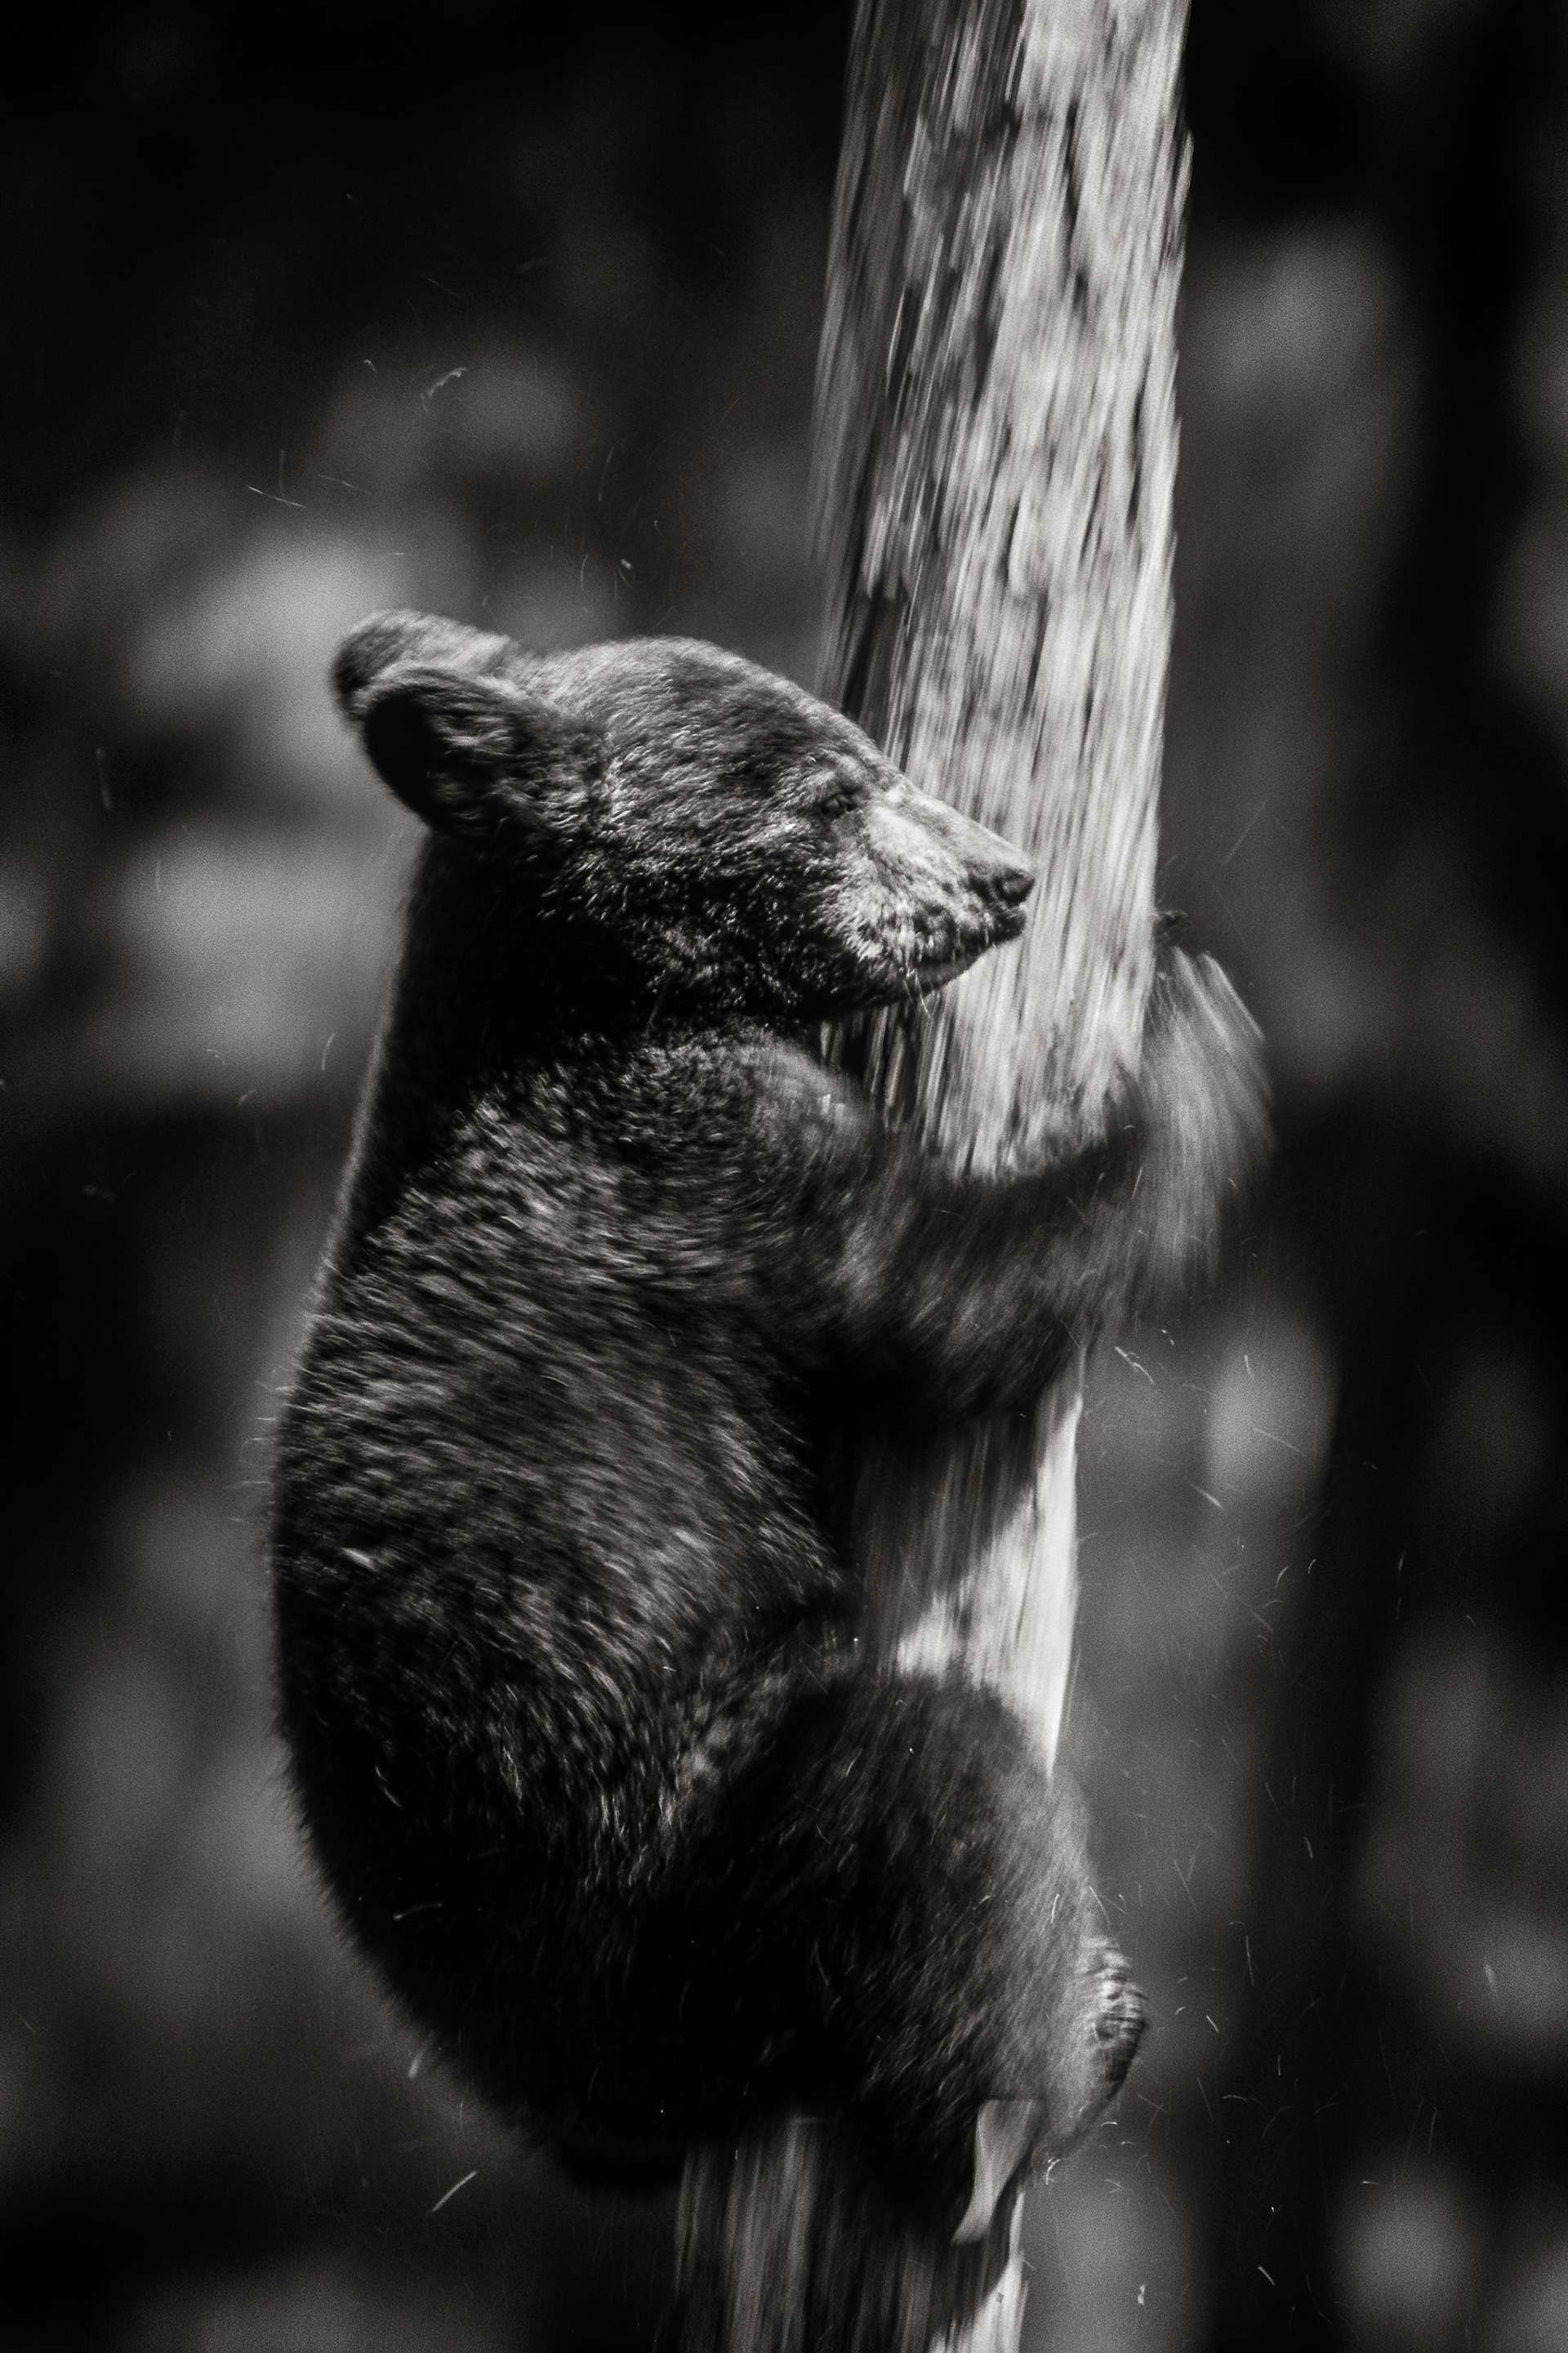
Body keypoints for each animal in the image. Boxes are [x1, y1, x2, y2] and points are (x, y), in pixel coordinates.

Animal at [268, 607, 1262, 2239]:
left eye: (879, 756)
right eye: (829, 794)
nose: (1006, 874)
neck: (585, 990)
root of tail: (584, 2113)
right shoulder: (704, 1158)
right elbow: (951, 1294)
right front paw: (1198, 1059)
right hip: (680, 1884)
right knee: (922, 1783)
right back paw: (1051, 2073)